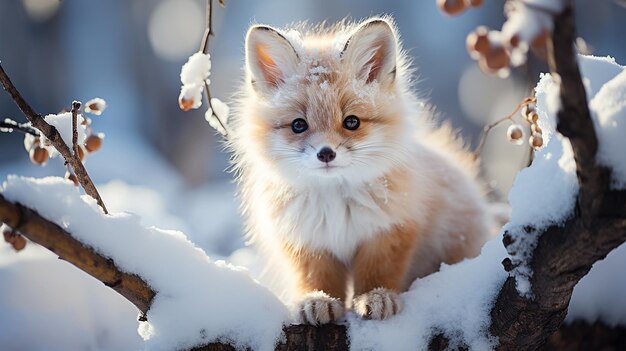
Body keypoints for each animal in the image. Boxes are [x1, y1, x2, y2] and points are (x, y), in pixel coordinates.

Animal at [229, 16, 492, 324]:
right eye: (298, 125)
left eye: (352, 122)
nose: (326, 153)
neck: (335, 206)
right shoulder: (307, 241)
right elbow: (316, 279)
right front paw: (319, 300)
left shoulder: (390, 230)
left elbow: (377, 274)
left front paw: (377, 297)